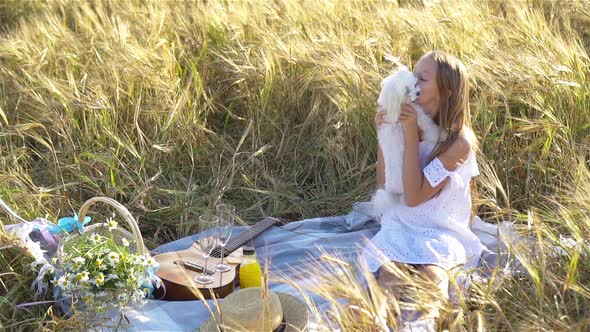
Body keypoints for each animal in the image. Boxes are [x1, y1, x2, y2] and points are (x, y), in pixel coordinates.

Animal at [372, 65, 450, 215]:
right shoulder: (417, 115)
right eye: (407, 91)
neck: (396, 105)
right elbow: (429, 126)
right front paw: (441, 134)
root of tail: (391, 191)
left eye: (415, 84)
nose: (418, 93)